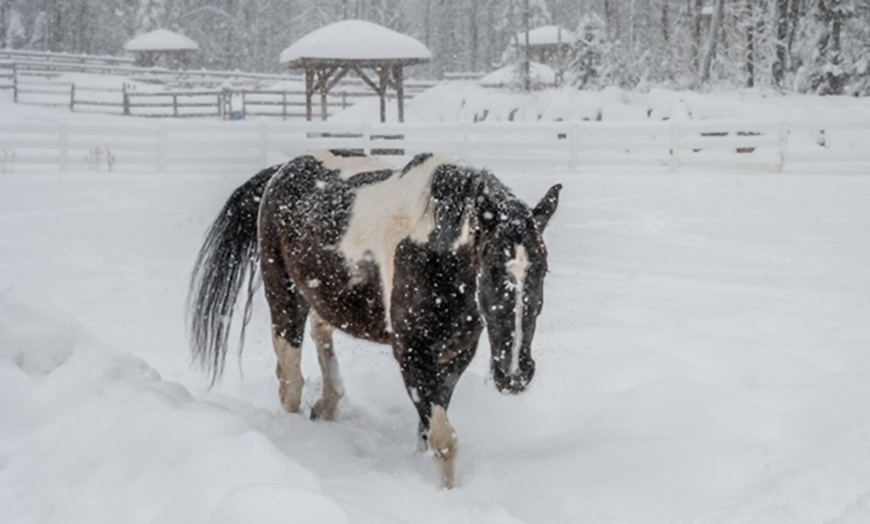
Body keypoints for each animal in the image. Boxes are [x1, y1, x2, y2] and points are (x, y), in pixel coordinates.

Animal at [187, 149, 564, 490]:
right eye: (489, 270)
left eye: (542, 269)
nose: (513, 374)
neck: (432, 251)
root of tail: (283, 170)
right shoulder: (412, 354)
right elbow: (443, 440)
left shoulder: (454, 356)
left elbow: (427, 432)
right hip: (283, 297)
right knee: (290, 380)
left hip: (322, 296)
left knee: (321, 336)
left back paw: (327, 405)